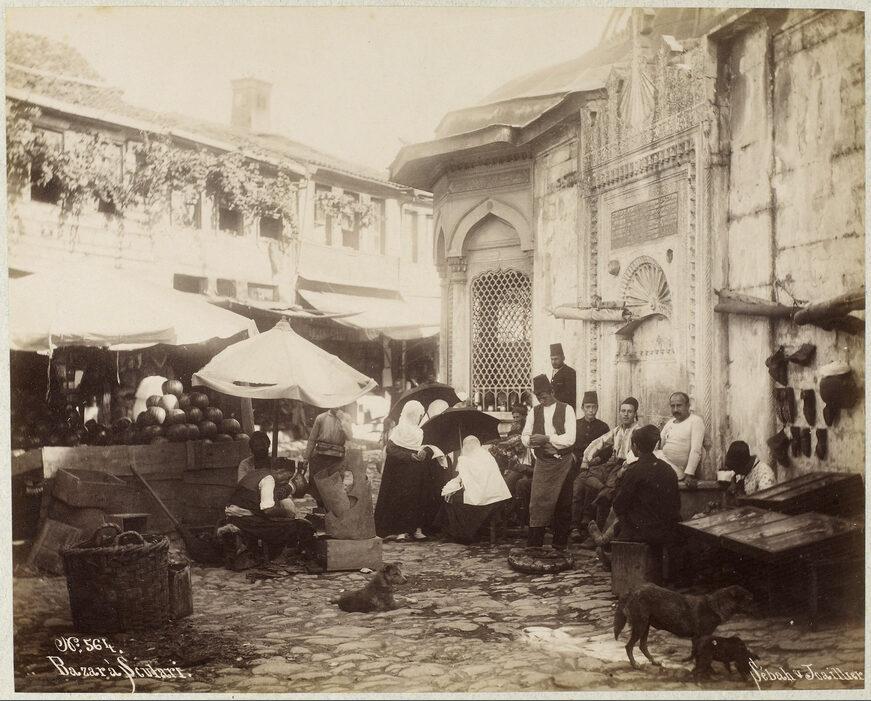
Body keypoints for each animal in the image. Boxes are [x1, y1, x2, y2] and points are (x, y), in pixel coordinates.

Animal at [613, 583, 754, 668]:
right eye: (747, 599)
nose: (756, 607)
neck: (715, 606)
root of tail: (633, 590)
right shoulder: (699, 637)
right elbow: (697, 654)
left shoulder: (698, 638)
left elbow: (694, 653)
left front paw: (688, 661)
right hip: (640, 626)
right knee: (629, 646)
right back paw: (634, 664)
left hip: (645, 626)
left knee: (642, 646)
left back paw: (654, 661)